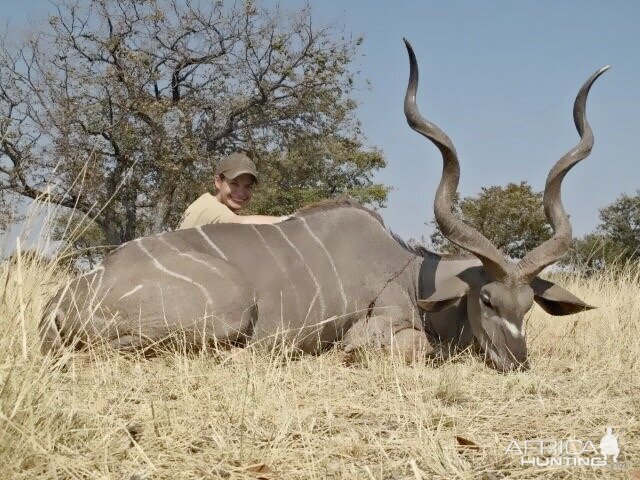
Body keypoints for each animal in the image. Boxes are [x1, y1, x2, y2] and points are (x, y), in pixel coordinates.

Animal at [40, 41, 604, 372]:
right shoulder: (377, 333)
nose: (517, 362)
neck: (408, 274)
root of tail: (64, 300)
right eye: (487, 300)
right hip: (228, 312)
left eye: (526, 306)